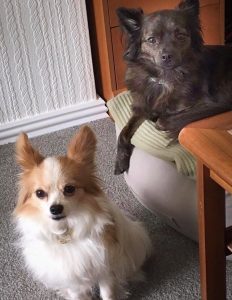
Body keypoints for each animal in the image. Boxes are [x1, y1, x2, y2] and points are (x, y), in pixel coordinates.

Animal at [14, 126, 152, 300]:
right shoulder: (73, 280)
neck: (66, 232)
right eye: (40, 193)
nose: (55, 208)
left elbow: (108, 294)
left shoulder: (106, 270)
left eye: (69, 189)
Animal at [115, 0, 232, 175]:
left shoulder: (208, 103)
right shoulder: (142, 107)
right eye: (152, 39)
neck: (164, 78)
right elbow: (123, 132)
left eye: (180, 36)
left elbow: (162, 121)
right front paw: (120, 161)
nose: (167, 56)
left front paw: (159, 118)